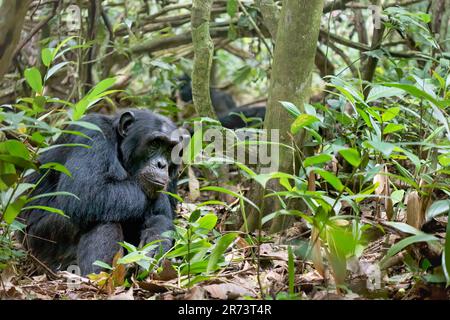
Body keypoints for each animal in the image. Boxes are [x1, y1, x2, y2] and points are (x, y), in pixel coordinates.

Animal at [17, 108, 183, 276]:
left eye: (170, 150)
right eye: (155, 143)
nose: (162, 164)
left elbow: (163, 219)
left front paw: (156, 242)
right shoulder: (92, 132)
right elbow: (86, 192)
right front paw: (158, 199)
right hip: (39, 245)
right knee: (101, 220)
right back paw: (99, 278)